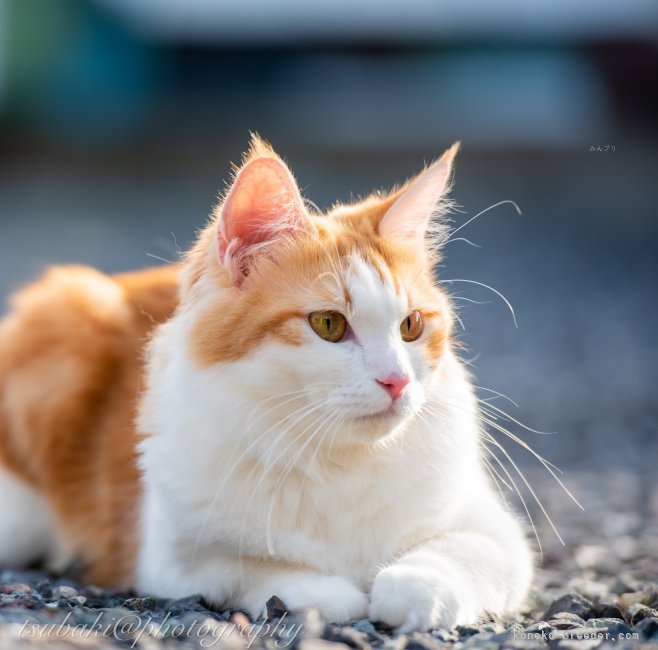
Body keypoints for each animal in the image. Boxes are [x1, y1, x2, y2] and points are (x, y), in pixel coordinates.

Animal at [0, 135, 532, 628]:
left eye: (411, 326)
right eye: (329, 325)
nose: (397, 381)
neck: (338, 461)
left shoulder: (495, 531)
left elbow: (451, 560)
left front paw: (414, 590)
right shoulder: (173, 558)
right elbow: (261, 570)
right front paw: (330, 596)